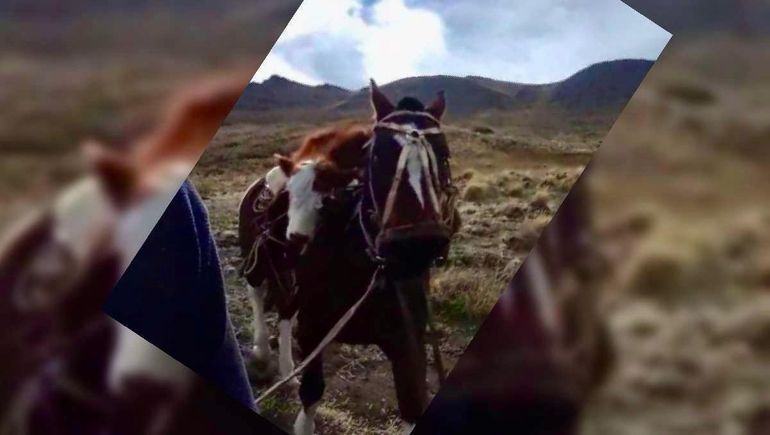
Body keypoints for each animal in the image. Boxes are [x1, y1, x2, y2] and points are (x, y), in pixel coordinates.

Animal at [237, 124, 371, 378]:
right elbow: (280, 309)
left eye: (326, 199)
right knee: (258, 295)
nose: (297, 237)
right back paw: (263, 350)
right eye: (289, 193)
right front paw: (285, 370)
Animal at [285, 80, 455, 435]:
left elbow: (412, 404)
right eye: (376, 155)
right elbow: (310, 394)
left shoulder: (409, 348)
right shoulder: (311, 330)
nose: (413, 246)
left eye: (444, 156)